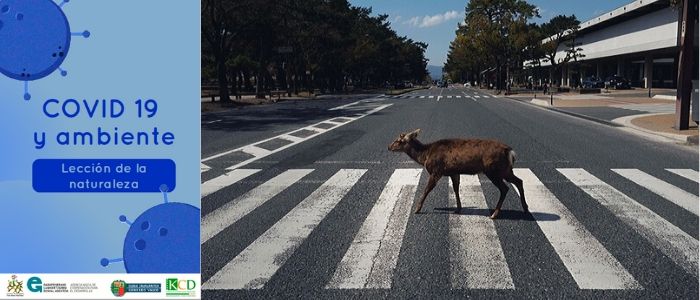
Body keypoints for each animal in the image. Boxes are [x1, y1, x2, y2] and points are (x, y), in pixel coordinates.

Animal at [386, 127, 528, 219]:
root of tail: (510, 152)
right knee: (519, 181)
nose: (388, 147)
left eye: (399, 140)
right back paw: (525, 208)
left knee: (505, 188)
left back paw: (494, 214)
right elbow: (456, 189)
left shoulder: (437, 170)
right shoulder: (454, 172)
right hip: (506, 170)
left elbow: (427, 189)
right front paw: (458, 208)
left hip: (493, 170)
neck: (425, 155)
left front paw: (417, 209)